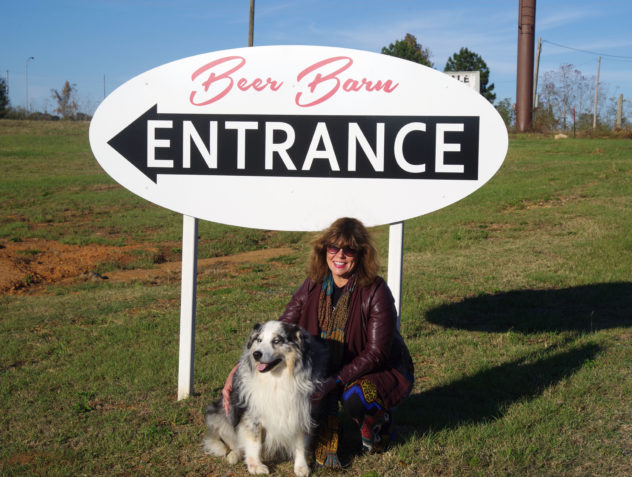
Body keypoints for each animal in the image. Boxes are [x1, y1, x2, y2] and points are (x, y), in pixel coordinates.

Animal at [205, 320, 328, 476]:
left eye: (276, 341)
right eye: (259, 340)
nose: (256, 354)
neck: (276, 379)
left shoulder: (301, 411)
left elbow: (300, 442)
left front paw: (301, 467)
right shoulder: (252, 414)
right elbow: (254, 441)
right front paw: (255, 466)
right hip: (220, 413)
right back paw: (234, 455)